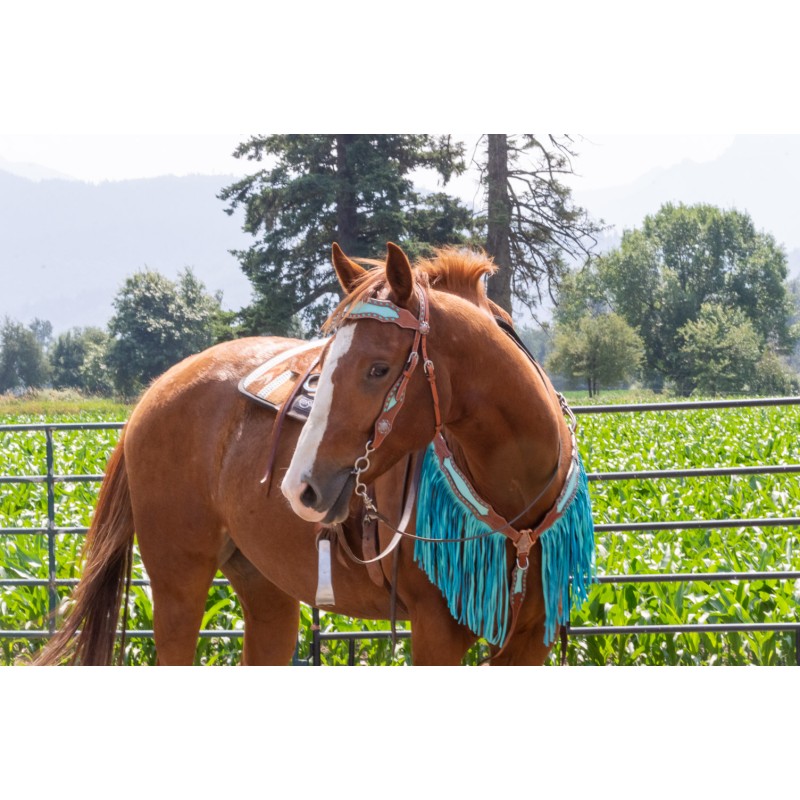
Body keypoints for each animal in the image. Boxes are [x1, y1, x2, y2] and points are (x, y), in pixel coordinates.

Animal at [34, 242, 592, 666]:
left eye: (377, 368)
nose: (299, 486)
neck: (517, 504)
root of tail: (152, 394)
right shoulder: (435, 633)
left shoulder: (531, 639)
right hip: (177, 583)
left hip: (264, 589)